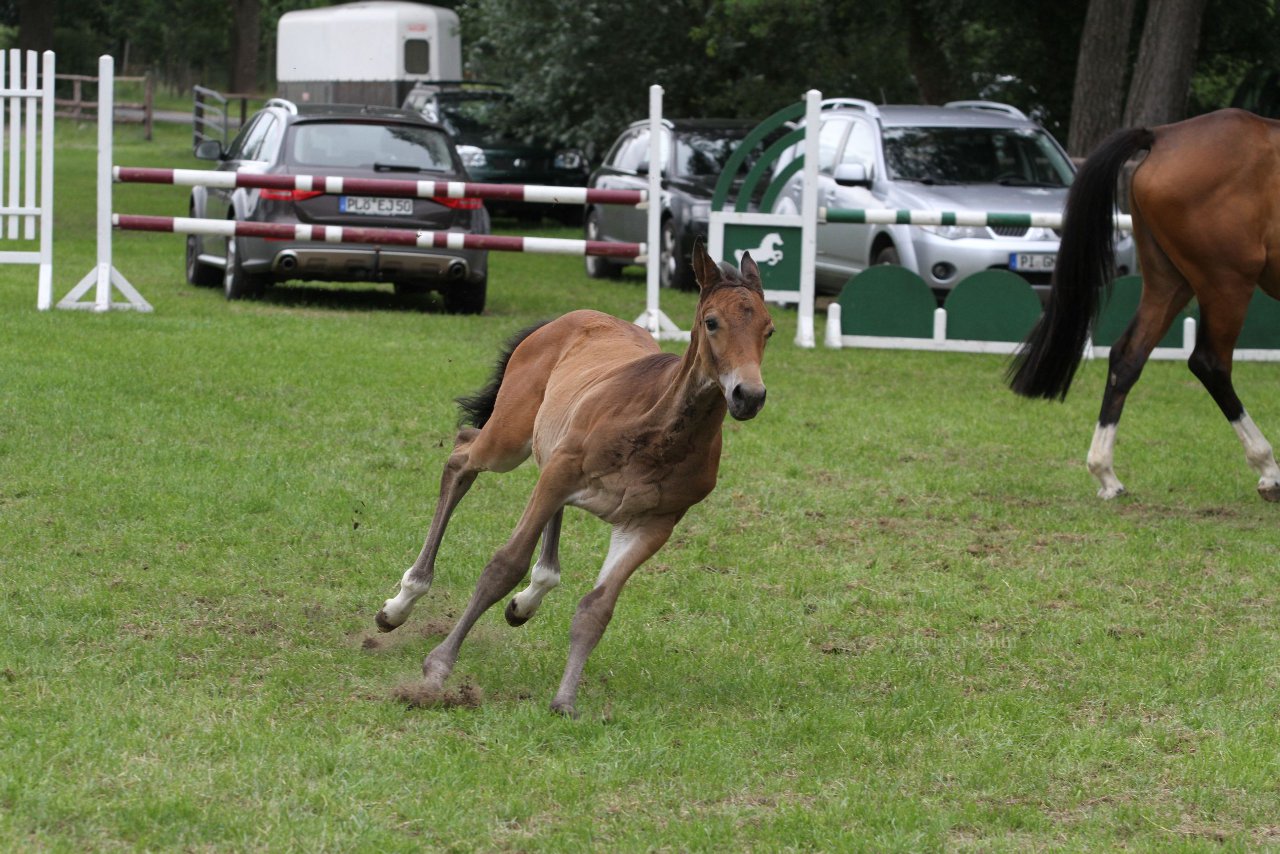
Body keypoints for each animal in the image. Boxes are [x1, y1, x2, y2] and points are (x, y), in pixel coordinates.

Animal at [371, 241, 768, 717]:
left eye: (768, 329)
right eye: (712, 322)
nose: (749, 395)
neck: (658, 429)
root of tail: (563, 319)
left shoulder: (651, 524)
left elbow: (597, 608)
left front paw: (564, 700)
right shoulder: (561, 474)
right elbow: (503, 566)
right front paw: (437, 669)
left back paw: (526, 600)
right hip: (507, 441)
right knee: (461, 456)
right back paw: (402, 603)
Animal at [1008, 110, 1280, 504]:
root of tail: (1164, 136)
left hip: (1169, 282)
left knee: (1127, 357)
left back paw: (1105, 473)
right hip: (1226, 282)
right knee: (1210, 363)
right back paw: (1269, 470)